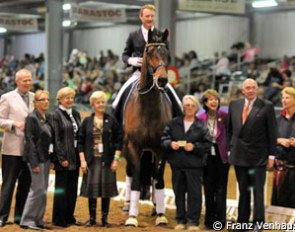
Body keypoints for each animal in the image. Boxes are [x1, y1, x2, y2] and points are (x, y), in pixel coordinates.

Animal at [123, 28, 173, 227]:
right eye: (149, 52)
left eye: (167, 53)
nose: (162, 80)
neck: (149, 105)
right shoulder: (133, 147)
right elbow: (136, 181)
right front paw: (132, 217)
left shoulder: (162, 149)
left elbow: (158, 179)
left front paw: (161, 215)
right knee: (130, 174)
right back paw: (128, 205)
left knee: (153, 175)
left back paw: (156, 207)